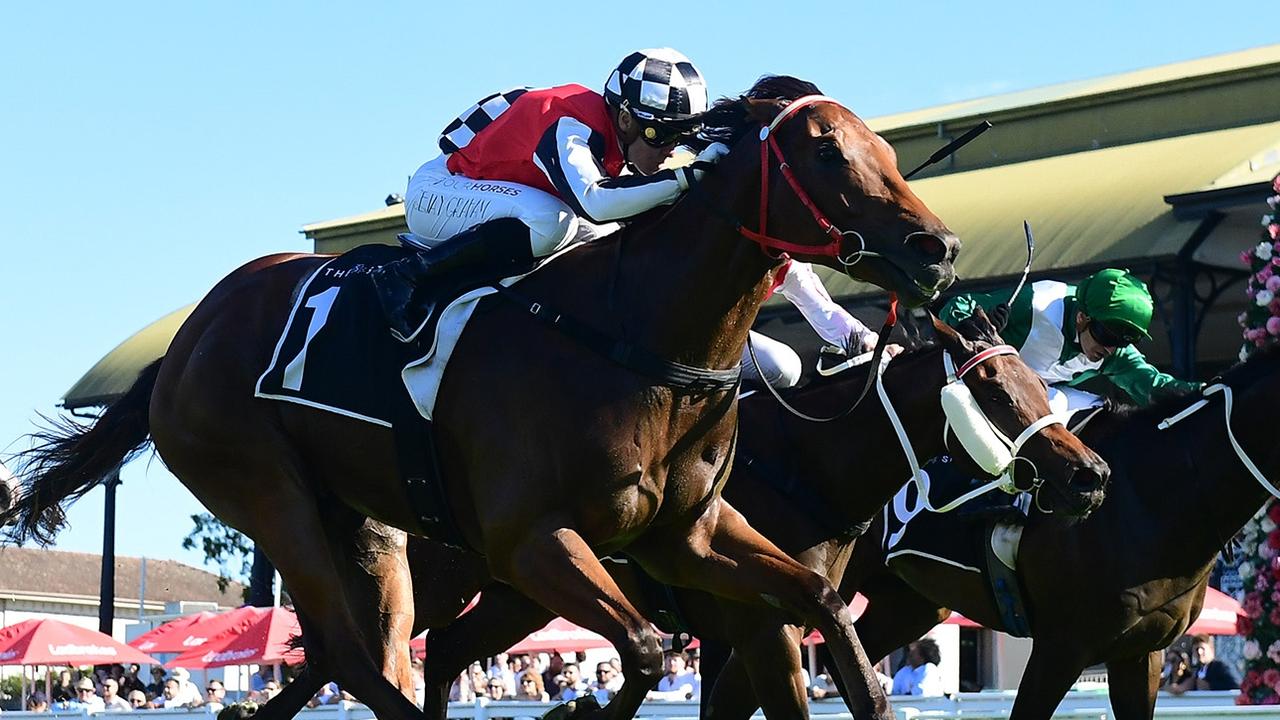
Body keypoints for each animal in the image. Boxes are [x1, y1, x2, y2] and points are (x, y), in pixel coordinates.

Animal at [0, 77, 962, 717]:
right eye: (829, 151)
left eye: (886, 151)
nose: (940, 246)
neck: (636, 337)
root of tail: (183, 342)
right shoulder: (532, 540)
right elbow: (646, 650)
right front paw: (579, 707)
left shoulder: (686, 537)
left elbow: (818, 607)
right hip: (268, 491)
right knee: (348, 652)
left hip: (373, 532)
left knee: (373, 651)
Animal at [401, 310, 1111, 717]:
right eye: (994, 391)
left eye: (1038, 384)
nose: (1091, 475)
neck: (804, 472)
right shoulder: (764, 631)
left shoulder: (774, 626)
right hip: (453, 578)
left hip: (519, 591)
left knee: (445, 651)